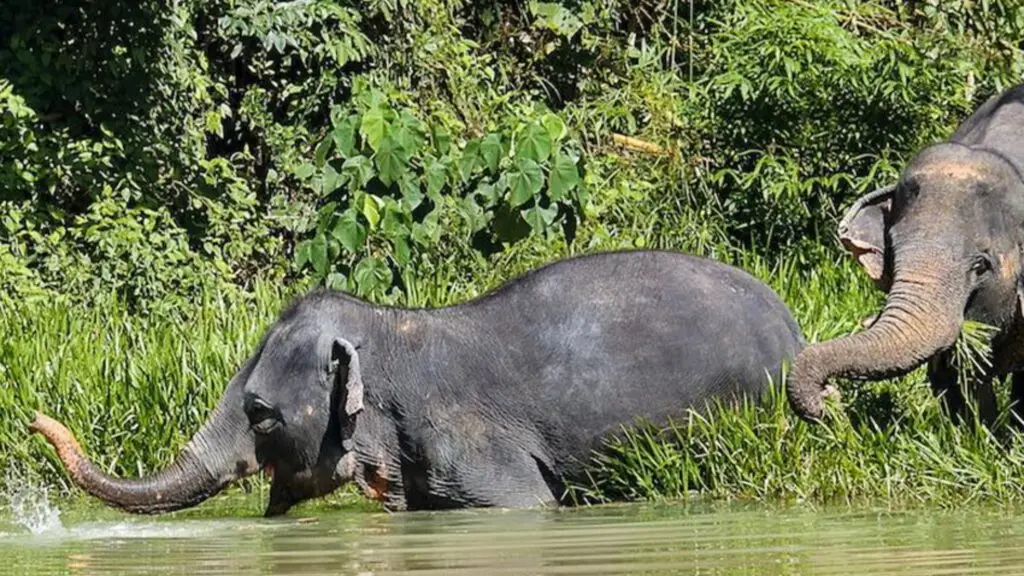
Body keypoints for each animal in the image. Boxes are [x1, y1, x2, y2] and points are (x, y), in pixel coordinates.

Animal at [30, 249, 804, 517]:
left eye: (260, 412)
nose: (35, 419)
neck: (392, 327)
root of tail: (794, 327)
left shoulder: (467, 441)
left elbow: (528, 503)